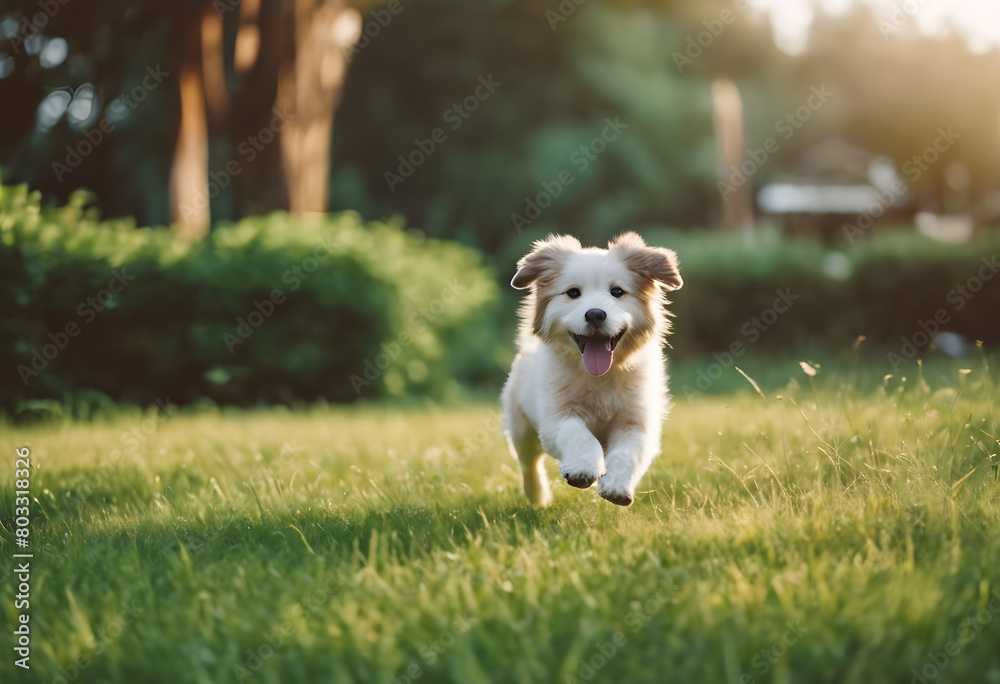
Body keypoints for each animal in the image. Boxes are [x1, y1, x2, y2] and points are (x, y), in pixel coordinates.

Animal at [504, 232, 684, 504]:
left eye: (617, 291)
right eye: (573, 292)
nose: (596, 314)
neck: (600, 377)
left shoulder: (638, 422)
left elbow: (628, 453)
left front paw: (617, 486)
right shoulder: (556, 416)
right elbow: (580, 436)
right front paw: (583, 468)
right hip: (521, 426)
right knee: (529, 463)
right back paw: (537, 495)